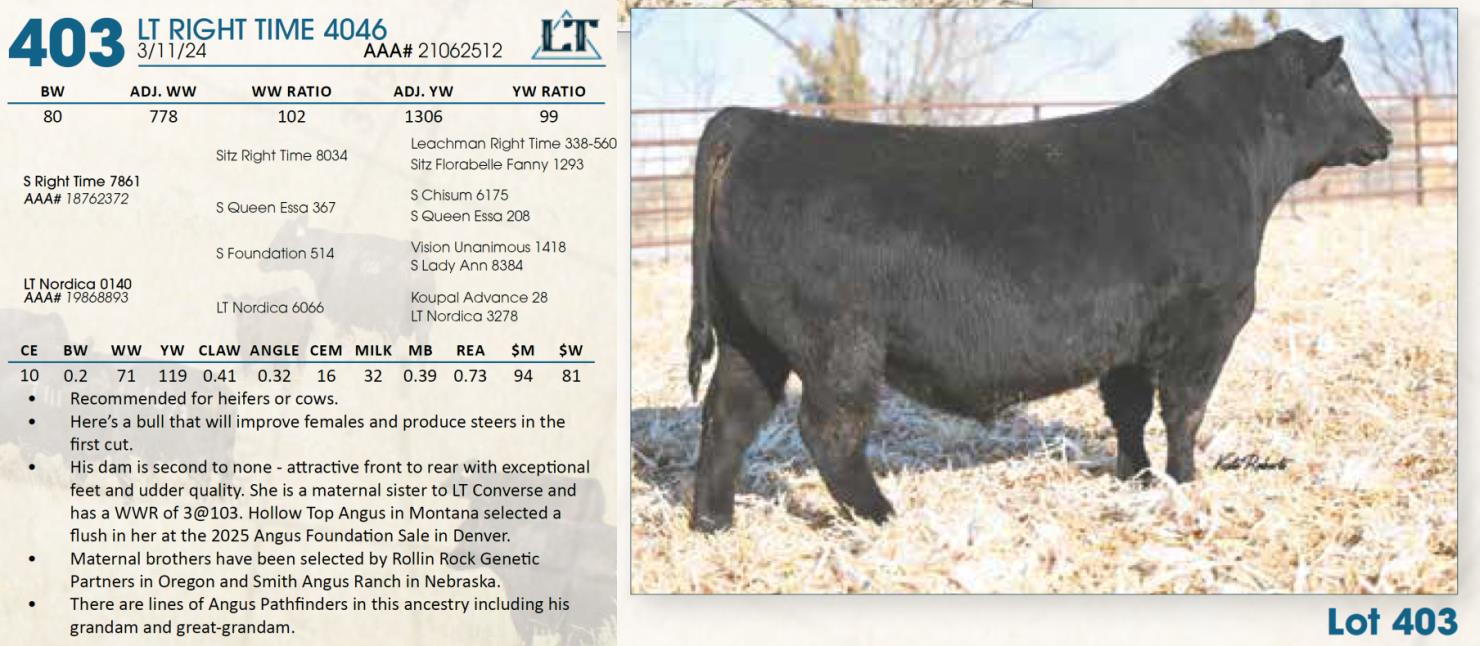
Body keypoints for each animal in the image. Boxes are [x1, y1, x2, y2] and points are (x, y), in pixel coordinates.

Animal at [683, 30, 1391, 532]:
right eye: (1341, 82)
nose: (1384, 135)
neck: (1233, 157)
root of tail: (753, 121)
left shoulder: (1131, 336)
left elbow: (1128, 411)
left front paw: (1136, 477)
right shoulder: (1207, 322)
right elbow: (1185, 411)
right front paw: (1184, 483)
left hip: (752, 337)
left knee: (728, 416)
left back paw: (713, 522)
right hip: (838, 342)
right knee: (828, 430)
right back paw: (881, 515)